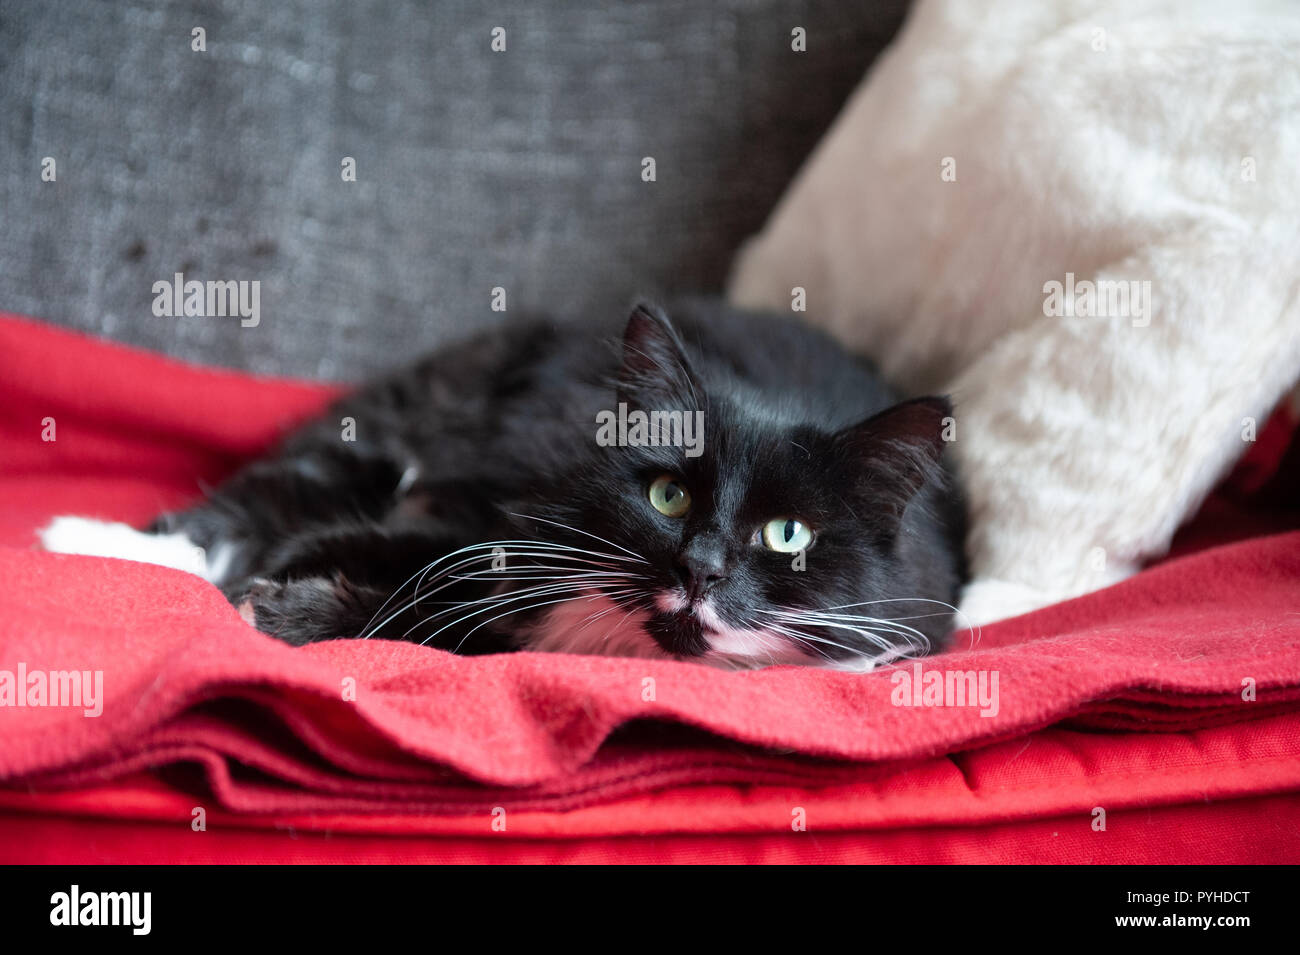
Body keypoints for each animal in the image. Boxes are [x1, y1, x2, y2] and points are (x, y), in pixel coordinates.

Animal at [40, 300, 972, 670]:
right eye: (669, 495)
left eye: (788, 535)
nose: (701, 567)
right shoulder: (505, 517)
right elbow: (427, 563)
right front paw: (286, 578)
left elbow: (444, 619)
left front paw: (286, 608)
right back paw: (87, 542)